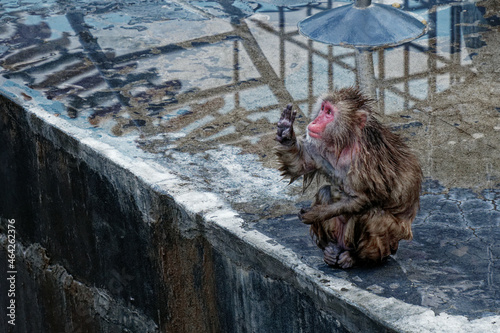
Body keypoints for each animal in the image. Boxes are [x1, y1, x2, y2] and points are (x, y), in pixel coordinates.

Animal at [276, 87, 420, 268]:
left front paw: (316, 213)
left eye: (329, 112)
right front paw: (285, 131)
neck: (347, 142)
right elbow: (300, 163)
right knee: (325, 192)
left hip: (391, 241)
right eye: (323, 108)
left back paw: (356, 258)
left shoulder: (366, 161)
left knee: (373, 215)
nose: (315, 121)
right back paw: (331, 250)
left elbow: (363, 199)